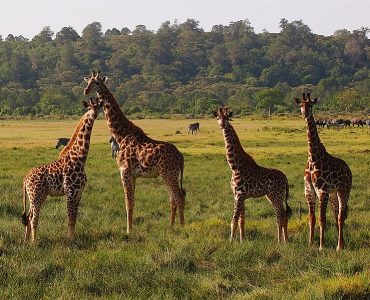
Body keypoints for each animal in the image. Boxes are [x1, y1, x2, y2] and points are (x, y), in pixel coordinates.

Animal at [21, 98, 102, 244]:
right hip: (36, 195)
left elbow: (74, 218)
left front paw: (73, 238)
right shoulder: (70, 191)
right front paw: (70, 241)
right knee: (33, 217)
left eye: (98, 105)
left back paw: (26, 241)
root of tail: (25, 178)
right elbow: (70, 217)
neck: (79, 158)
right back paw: (34, 243)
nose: (97, 111)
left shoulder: (79, 192)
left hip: (39, 195)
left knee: (29, 216)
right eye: (92, 106)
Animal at [83, 71, 185, 234]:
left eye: (97, 83)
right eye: (87, 82)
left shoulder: (124, 171)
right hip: (167, 174)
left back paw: (182, 228)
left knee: (179, 197)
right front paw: (131, 228)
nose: (86, 91)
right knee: (173, 199)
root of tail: (181, 157)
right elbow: (133, 202)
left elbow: (128, 203)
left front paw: (128, 231)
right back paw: (171, 226)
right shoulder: (134, 175)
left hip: (169, 174)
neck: (121, 134)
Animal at [214, 106, 292, 243]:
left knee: (280, 216)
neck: (235, 167)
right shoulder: (239, 196)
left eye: (227, 117)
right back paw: (283, 241)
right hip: (272, 196)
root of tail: (286, 179)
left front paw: (230, 242)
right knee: (283, 215)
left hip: (276, 196)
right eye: (218, 117)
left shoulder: (239, 194)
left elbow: (234, 220)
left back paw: (280, 242)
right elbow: (242, 220)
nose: (222, 125)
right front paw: (241, 241)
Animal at [294, 93, 352, 251]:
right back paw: (342, 244)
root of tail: (348, 169)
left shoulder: (322, 190)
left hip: (343, 190)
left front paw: (321, 246)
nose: (305, 113)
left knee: (340, 216)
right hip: (333, 194)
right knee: (337, 215)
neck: (313, 158)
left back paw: (339, 247)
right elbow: (312, 218)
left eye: (311, 105)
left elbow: (322, 219)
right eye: (301, 105)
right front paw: (310, 244)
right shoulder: (309, 190)